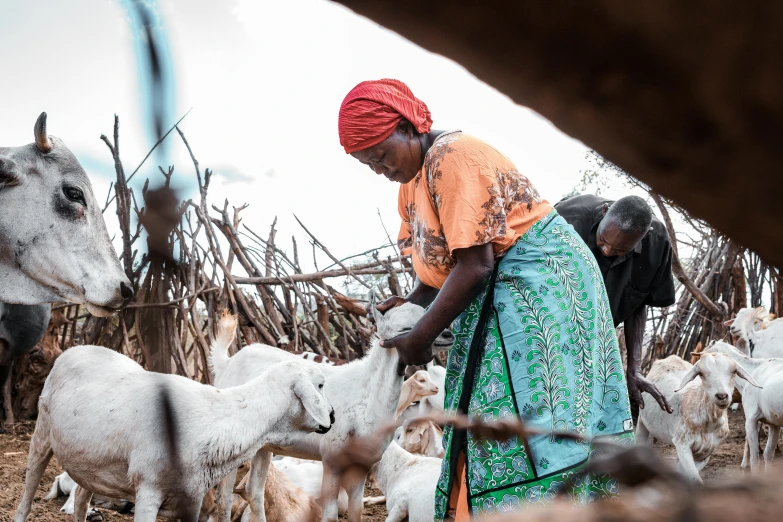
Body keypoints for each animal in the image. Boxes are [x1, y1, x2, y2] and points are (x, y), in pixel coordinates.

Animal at [14, 312, 334, 520]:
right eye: (320, 385)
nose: (331, 415)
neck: (218, 417)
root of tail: (78, 348)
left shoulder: (192, 501)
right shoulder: (147, 491)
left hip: (92, 463)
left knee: (81, 500)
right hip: (41, 436)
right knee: (26, 499)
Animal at [211, 294, 456, 520]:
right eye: (406, 328)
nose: (448, 335)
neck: (366, 399)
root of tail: (227, 363)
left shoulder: (361, 465)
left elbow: (357, 511)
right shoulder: (331, 460)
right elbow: (329, 516)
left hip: (264, 445)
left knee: (254, 491)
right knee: (224, 498)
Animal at [636, 352, 760, 482]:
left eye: (734, 371)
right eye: (701, 373)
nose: (722, 396)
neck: (709, 422)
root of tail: (671, 358)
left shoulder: (705, 453)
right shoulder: (682, 444)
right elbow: (695, 479)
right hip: (642, 422)